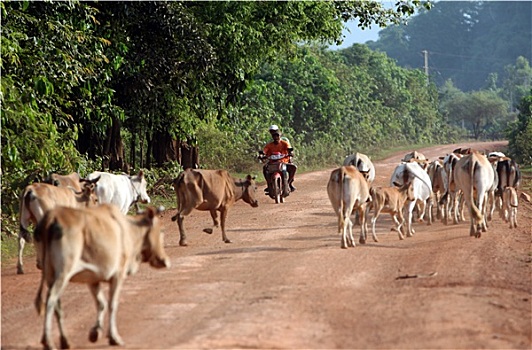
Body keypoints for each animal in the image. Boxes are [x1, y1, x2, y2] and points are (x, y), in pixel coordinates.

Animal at [34, 205, 170, 350]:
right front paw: (114, 337)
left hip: (50, 275)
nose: (165, 261)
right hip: (63, 273)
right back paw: (48, 342)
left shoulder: (93, 279)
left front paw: (95, 332)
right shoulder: (118, 274)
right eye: (162, 230)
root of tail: (51, 217)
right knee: (51, 300)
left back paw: (65, 341)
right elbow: (112, 304)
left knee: (57, 305)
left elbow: (101, 303)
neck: (129, 229)